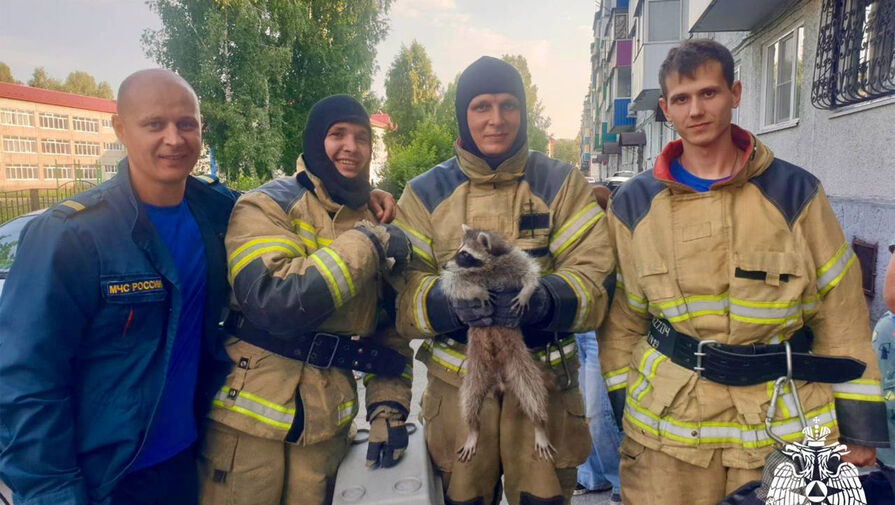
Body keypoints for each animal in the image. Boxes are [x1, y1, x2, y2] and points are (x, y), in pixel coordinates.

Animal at [440, 224, 552, 460]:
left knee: (532, 391)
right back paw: (473, 428)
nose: (444, 264)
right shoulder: (460, 277)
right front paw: (478, 291)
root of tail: (499, 376)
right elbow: (455, 284)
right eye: (459, 249)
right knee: (470, 398)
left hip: (518, 361)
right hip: (476, 367)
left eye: (465, 254)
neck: (488, 268)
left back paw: (539, 424)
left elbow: (530, 273)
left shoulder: (514, 259)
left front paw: (527, 292)